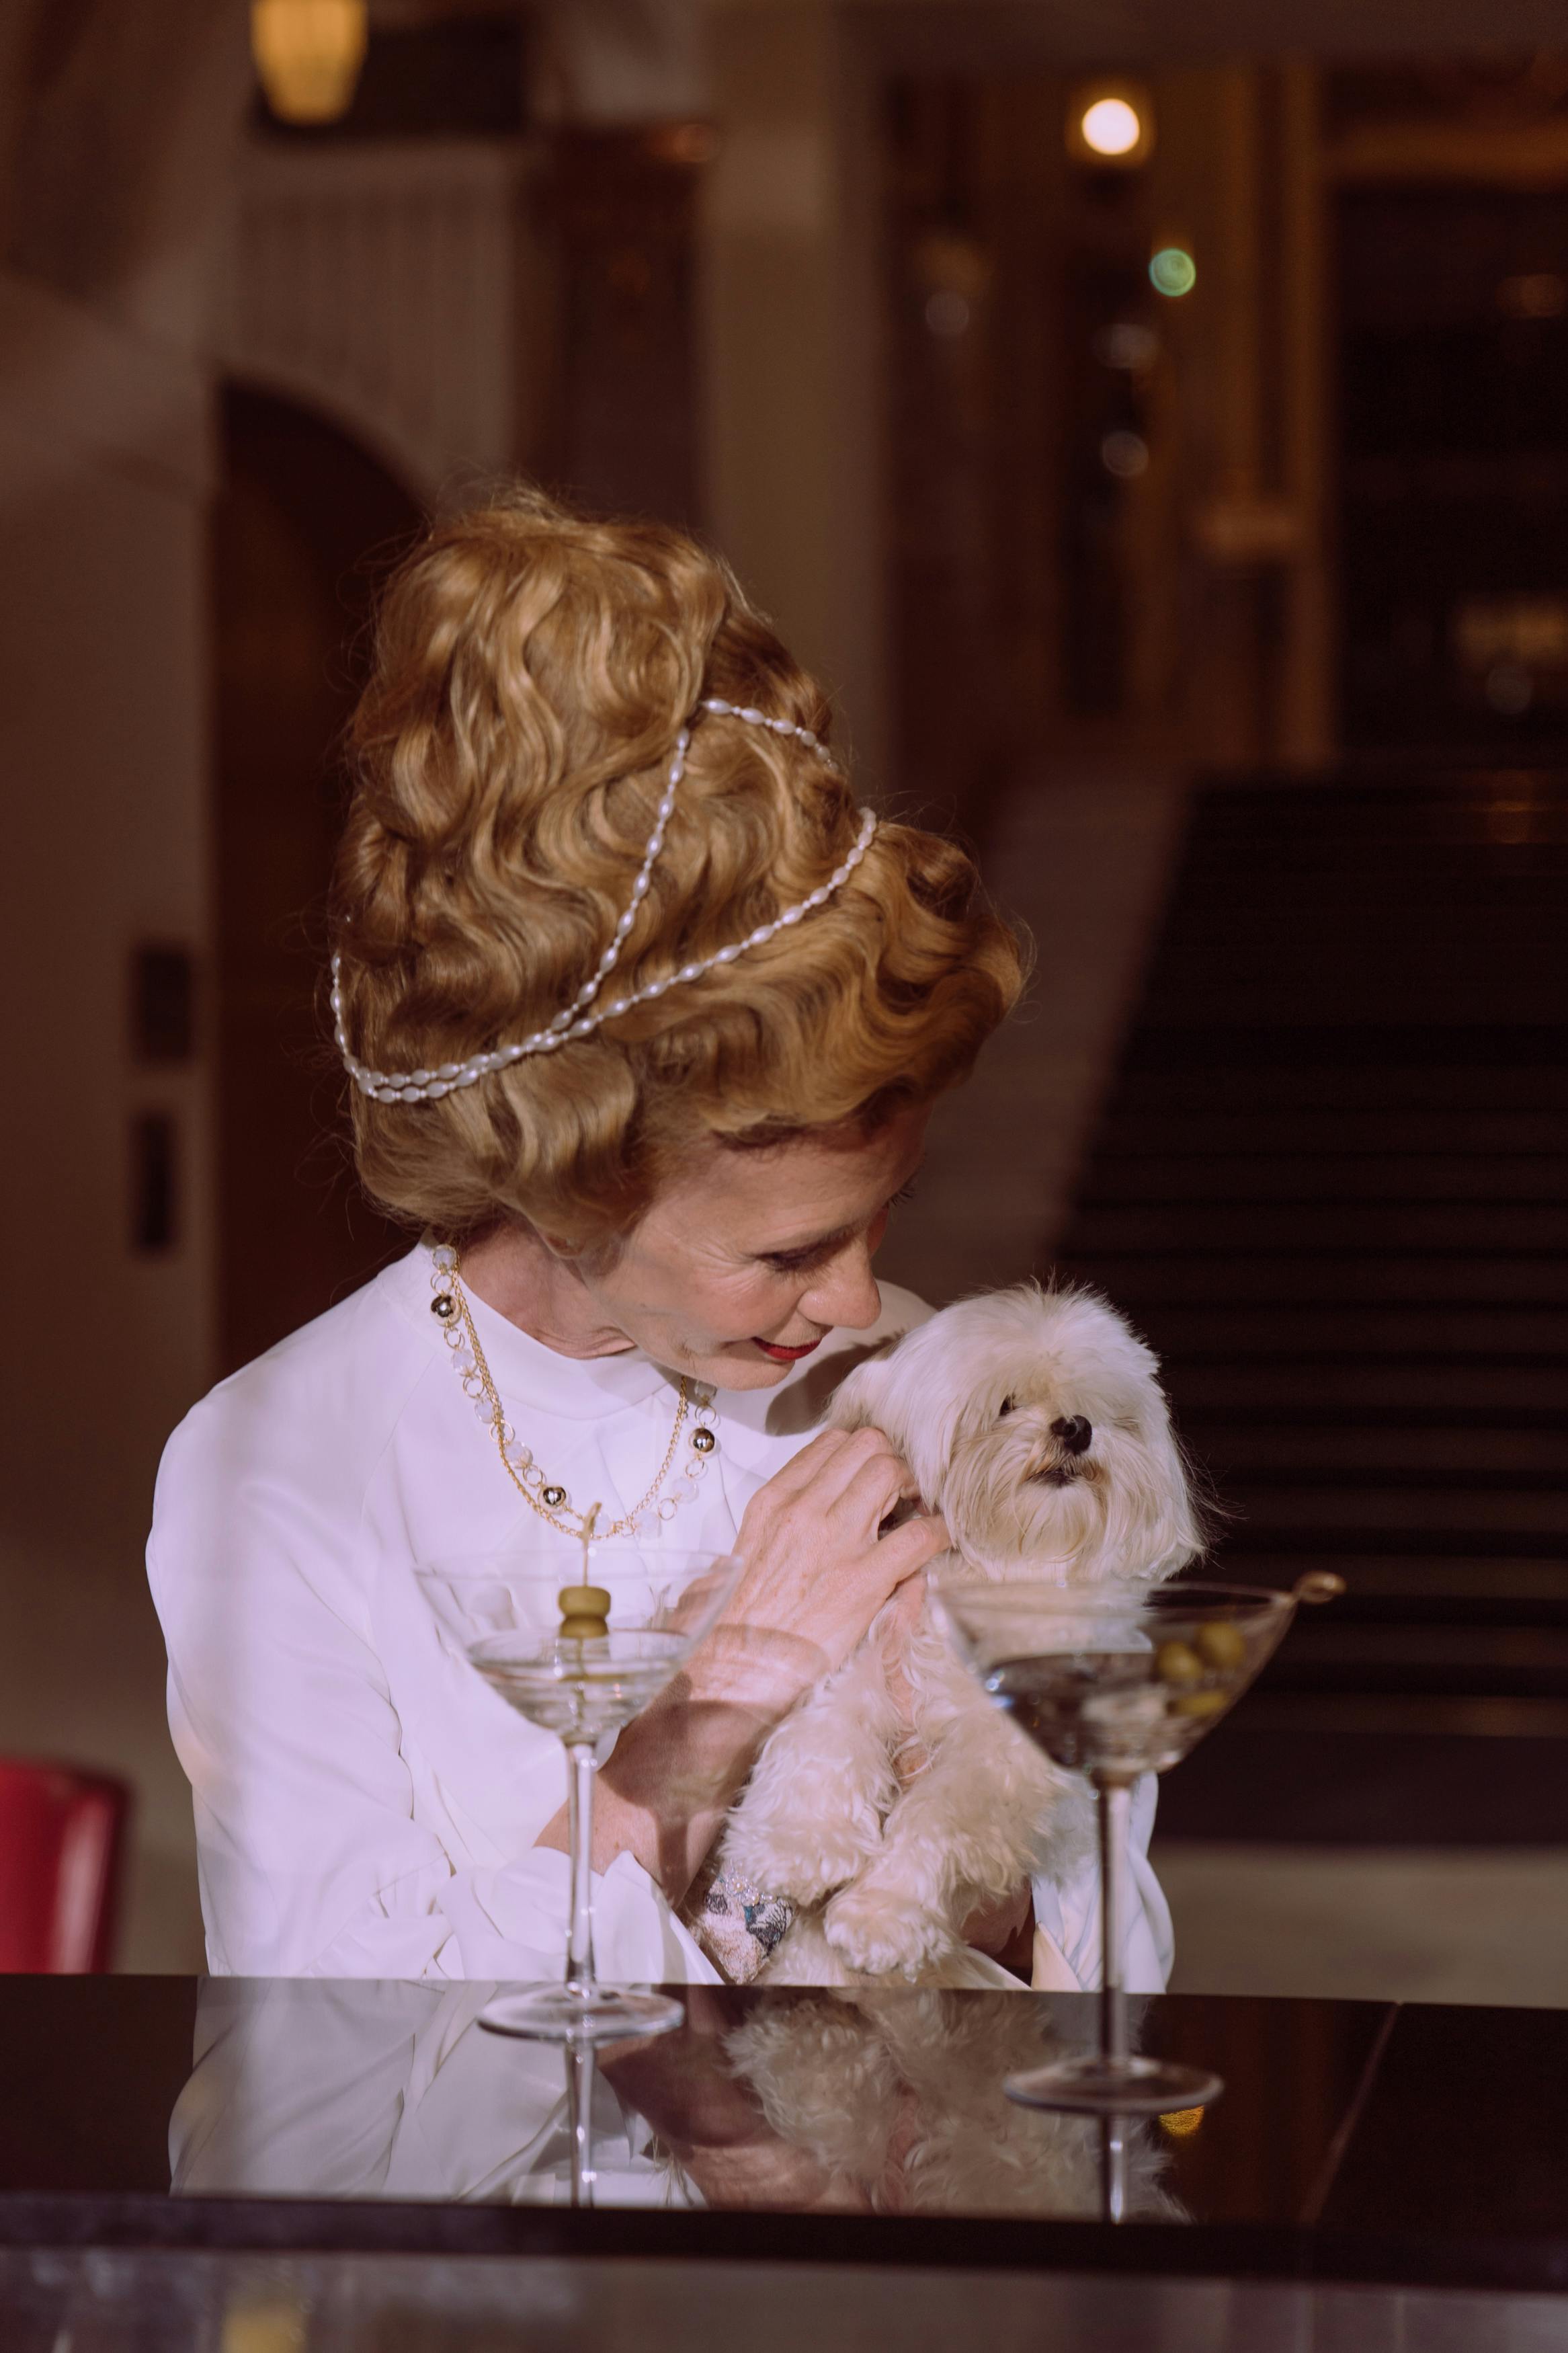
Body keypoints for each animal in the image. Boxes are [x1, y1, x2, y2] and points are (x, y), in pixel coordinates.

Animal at [700, 1289, 1203, 1986]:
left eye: (1103, 1411)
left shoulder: (1004, 1753)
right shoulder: (867, 1645)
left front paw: (882, 1914)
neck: (998, 1572)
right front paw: (796, 1845)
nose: (1076, 1427)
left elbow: (938, 1816)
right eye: (1005, 1405)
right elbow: (823, 1736)